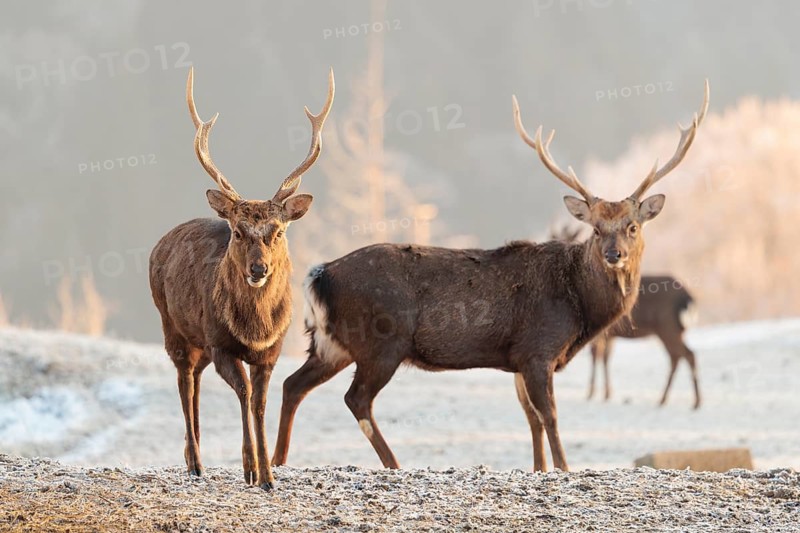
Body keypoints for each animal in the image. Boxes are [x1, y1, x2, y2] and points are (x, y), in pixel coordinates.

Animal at [149, 67, 334, 490]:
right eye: (237, 231)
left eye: (278, 231)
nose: (258, 269)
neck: (256, 328)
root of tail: (160, 242)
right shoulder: (221, 343)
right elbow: (246, 394)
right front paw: (251, 468)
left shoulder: (271, 351)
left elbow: (261, 402)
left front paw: (267, 474)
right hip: (172, 324)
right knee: (184, 381)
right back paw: (196, 462)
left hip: (198, 341)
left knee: (196, 382)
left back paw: (194, 454)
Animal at [552, 226, 701, 409]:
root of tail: (688, 298)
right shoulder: (610, 334)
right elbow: (605, 358)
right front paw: (606, 393)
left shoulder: (601, 333)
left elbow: (596, 357)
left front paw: (593, 393)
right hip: (674, 330)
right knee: (679, 356)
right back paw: (667, 399)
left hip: (668, 327)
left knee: (686, 355)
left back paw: (692, 401)